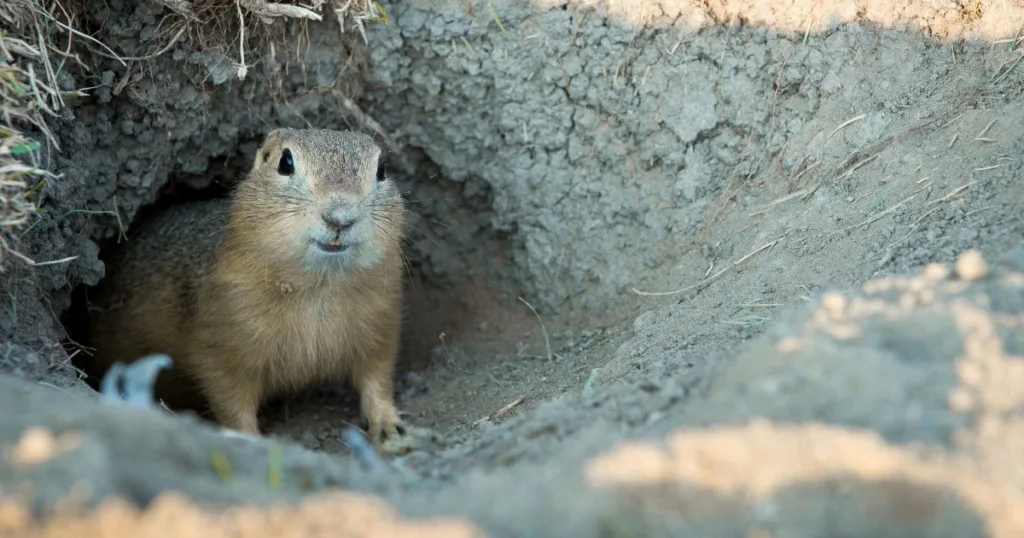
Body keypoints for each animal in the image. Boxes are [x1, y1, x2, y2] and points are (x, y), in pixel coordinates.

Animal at [87, 127, 415, 444]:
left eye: (382, 169)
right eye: (286, 162)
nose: (340, 218)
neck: (319, 286)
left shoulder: (381, 323)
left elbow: (377, 375)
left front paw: (389, 424)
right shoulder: (223, 340)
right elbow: (231, 399)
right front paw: (250, 440)